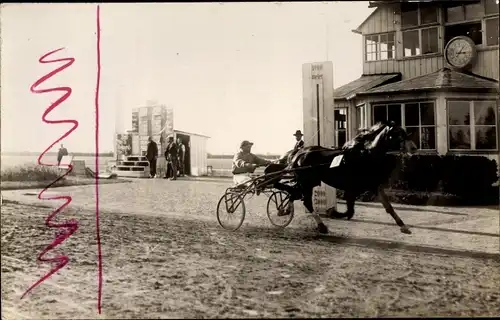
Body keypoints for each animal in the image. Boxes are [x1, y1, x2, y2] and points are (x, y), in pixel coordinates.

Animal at [266, 121, 418, 234]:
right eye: (397, 134)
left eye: (405, 132)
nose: (414, 148)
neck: (365, 156)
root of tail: (299, 154)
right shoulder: (352, 188)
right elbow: (350, 210)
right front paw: (335, 213)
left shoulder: (375, 186)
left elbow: (388, 207)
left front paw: (403, 226)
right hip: (306, 182)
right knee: (306, 201)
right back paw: (321, 226)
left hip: (309, 182)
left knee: (294, 193)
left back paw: (285, 209)